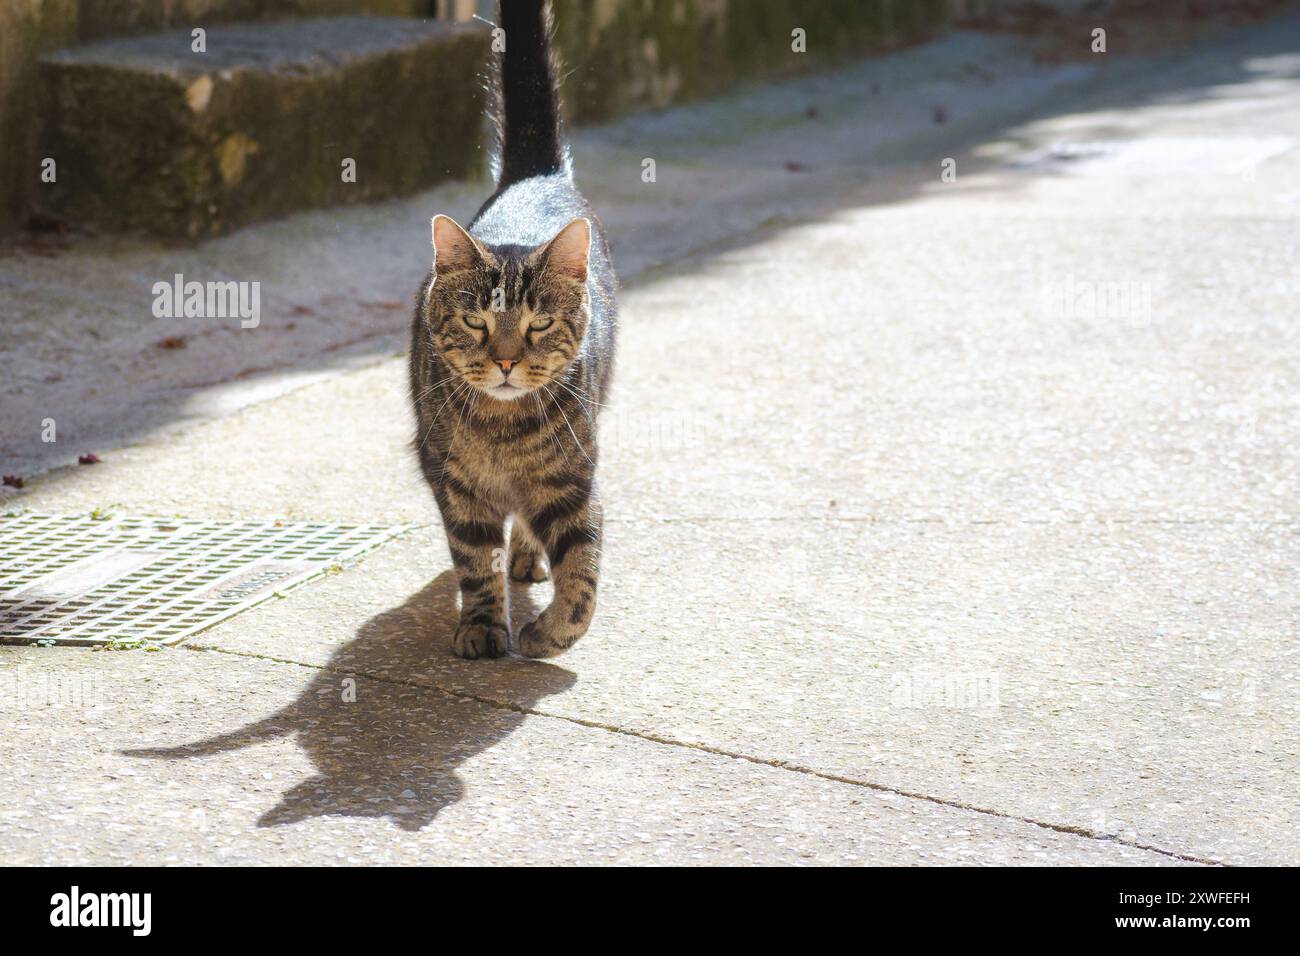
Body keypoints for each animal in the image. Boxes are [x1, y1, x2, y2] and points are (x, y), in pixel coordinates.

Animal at [408, 0, 616, 658]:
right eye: (476, 320)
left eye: (539, 323)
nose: (503, 361)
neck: (502, 434)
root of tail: (535, 175)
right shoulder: (454, 483)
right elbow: (476, 561)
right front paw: (481, 625)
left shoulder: (574, 481)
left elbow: (583, 573)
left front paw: (551, 634)